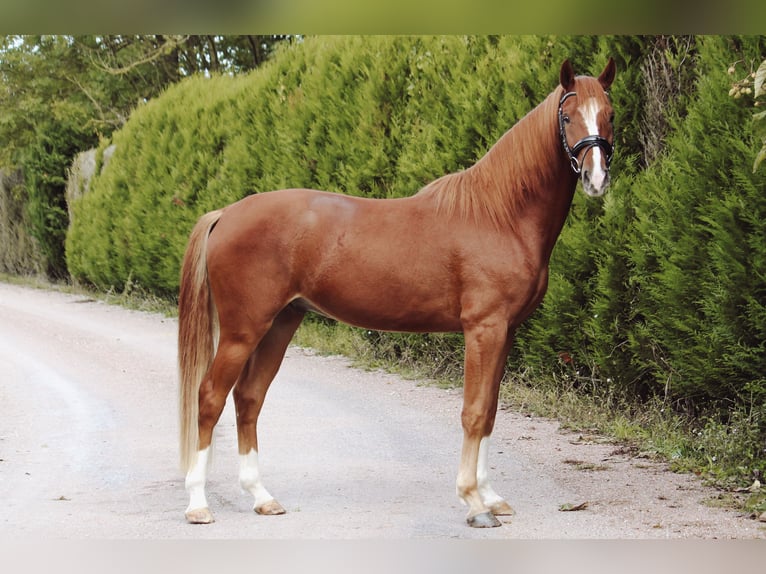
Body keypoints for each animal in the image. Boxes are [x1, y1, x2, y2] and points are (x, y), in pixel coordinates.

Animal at [177, 56, 616, 528]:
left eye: (609, 114)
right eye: (567, 116)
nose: (595, 178)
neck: (499, 215)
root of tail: (226, 213)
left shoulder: (506, 331)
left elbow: (491, 412)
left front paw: (491, 496)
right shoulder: (484, 329)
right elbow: (474, 411)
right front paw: (473, 502)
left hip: (280, 323)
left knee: (249, 397)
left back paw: (261, 497)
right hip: (243, 330)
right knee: (210, 397)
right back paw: (198, 504)